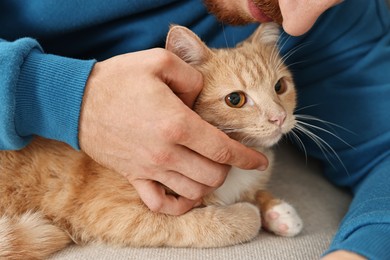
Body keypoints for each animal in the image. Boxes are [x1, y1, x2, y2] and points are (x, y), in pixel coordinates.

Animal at [0, 22, 302, 260]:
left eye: (280, 87)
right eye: (235, 99)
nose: (279, 117)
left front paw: (276, 210)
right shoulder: (113, 213)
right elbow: (200, 224)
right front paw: (249, 214)